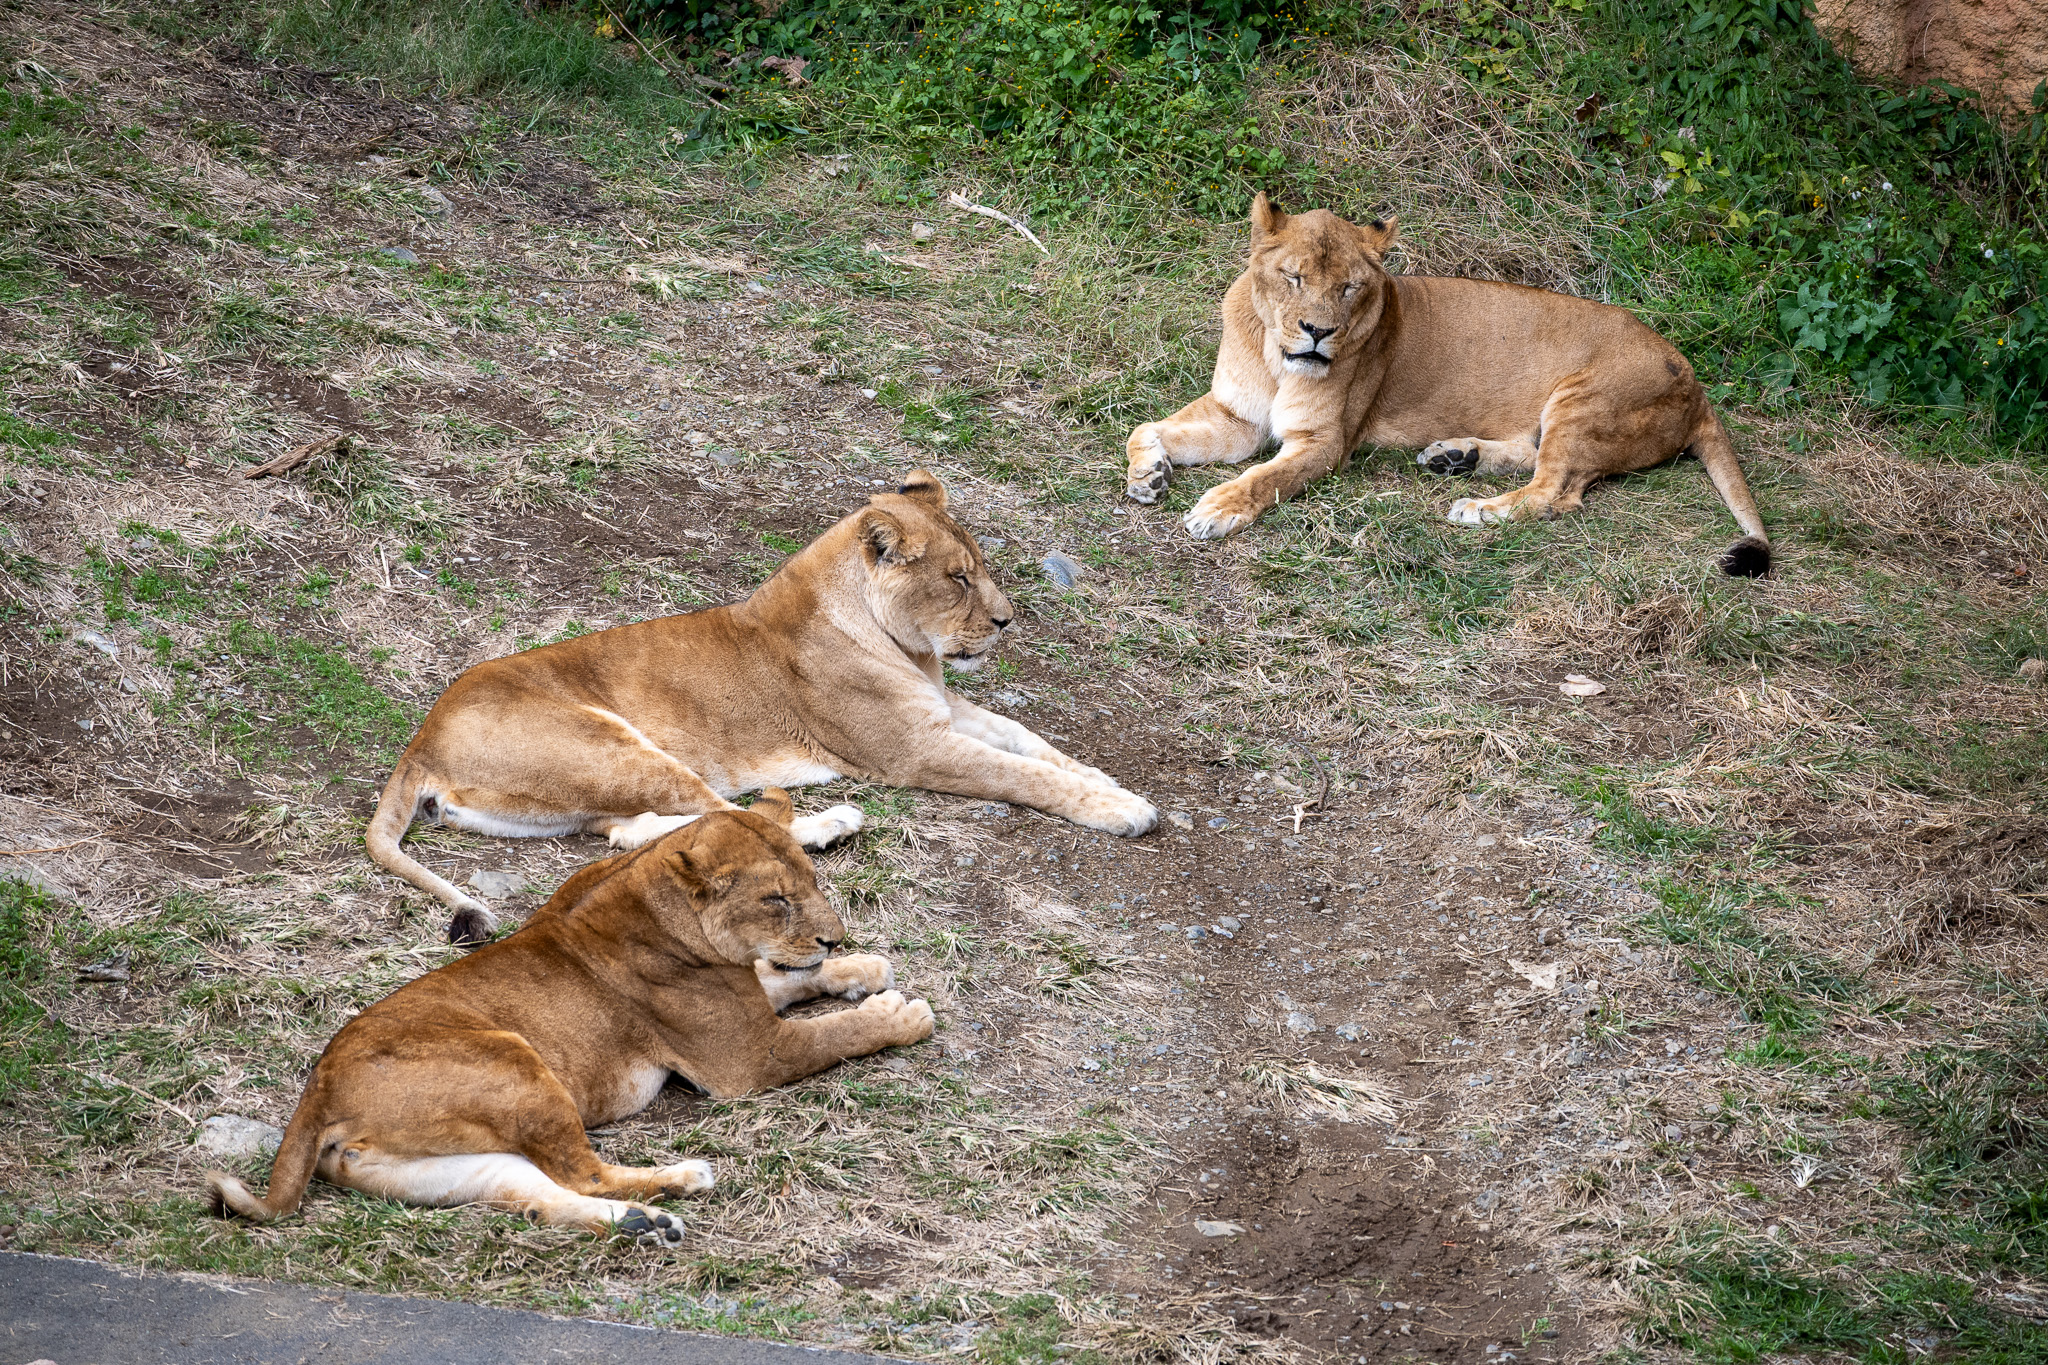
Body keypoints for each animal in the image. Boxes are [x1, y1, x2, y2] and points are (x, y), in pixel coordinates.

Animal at [208, 792, 934, 1241]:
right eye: (776, 899)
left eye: (810, 882)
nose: (834, 937)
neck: (650, 892)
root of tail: (318, 1090)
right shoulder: (747, 1059)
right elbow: (830, 1033)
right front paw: (900, 1013)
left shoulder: (747, 1000)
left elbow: (783, 977)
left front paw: (862, 969)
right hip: (515, 1063)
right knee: (583, 1172)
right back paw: (685, 1182)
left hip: (449, 1165)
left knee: (537, 1192)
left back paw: (646, 1221)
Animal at [369, 470, 1157, 945]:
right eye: (958, 578)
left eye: (981, 570)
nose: (1006, 620)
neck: (909, 649)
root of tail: (421, 740)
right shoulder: (910, 750)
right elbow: (1019, 773)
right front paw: (1121, 809)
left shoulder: (939, 712)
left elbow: (1027, 738)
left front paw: (1105, 780)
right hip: (617, 744)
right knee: (729, 817)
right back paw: (835, 821)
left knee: (635, 833)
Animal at [1125, 195, 1772, 576]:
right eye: (1294, 277)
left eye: (1350, 287)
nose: (1318, 332)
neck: (1275, 356)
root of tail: (1697, 385)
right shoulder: (1236, 417)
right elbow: (1146, 427)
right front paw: (1148, 474)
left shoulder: (1324, 443)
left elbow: (1266, 477)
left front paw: (1218, 508)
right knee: (1538, 457)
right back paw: (1456, 456)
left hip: (1585, 397)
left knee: (1556, 491)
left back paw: (1474, 507)